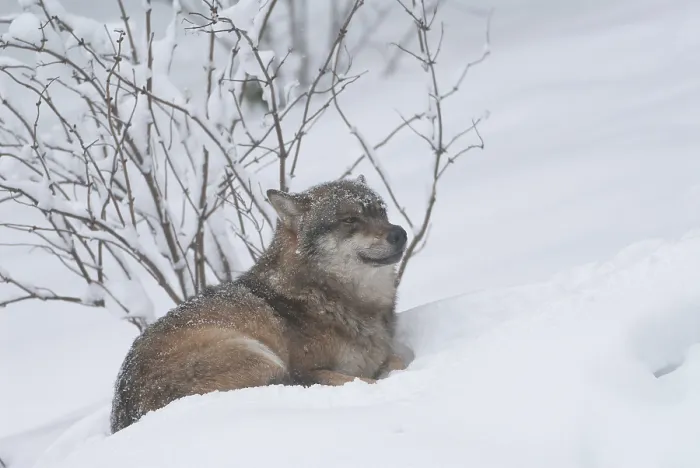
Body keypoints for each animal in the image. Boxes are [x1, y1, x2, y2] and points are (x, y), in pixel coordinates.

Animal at [109, 175, 414, 432]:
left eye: (381, 212)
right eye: (350, 219)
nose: (400, 233)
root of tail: (127, 414)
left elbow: (397, 359)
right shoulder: (307, 369)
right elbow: (366, 375)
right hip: (261, 356)